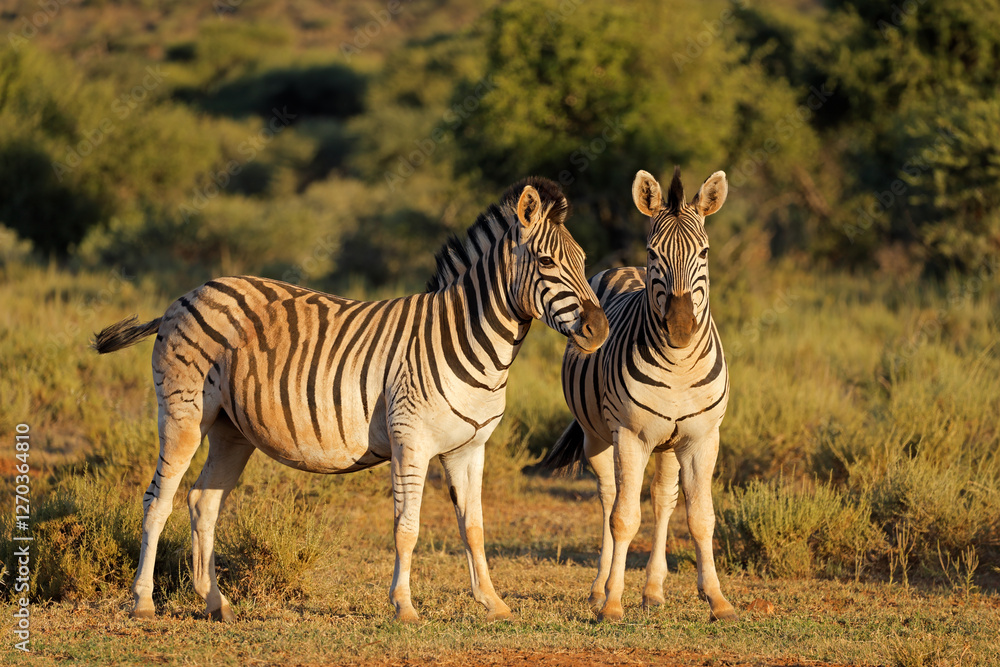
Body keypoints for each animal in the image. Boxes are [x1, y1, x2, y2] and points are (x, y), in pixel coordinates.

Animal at [92, 177, 609, 624]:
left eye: (585, 261)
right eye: (546, 262)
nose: (599, 330)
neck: (472, 341)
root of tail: (187, 294)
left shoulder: (469, 448)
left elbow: (474, 528)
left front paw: (494, 603)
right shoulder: (410, 440)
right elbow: (407, 527)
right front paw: (404, 606)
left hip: (230, 428)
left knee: (203, 501)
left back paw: (217, 604)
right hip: (184, 413)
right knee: (158, 499)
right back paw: (143, 603)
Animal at [541, 167, 736, 622]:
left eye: (704, 253)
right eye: (654, 253)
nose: (680, 328)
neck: (679, 365)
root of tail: (623, 268)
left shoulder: (702, 438)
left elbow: (701, 517)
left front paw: (717, 599)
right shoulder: (630, 436)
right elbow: (624, 518)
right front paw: (613, 603)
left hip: (668, 444)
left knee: (663, 499)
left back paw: (653, 590)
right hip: (598, 437)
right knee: (611, 498)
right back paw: (601, 589)